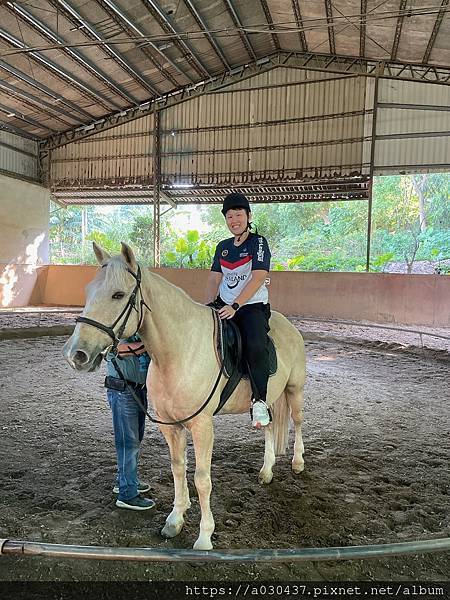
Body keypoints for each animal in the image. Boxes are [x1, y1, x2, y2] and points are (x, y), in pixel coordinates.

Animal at [63, 243, 306, 548]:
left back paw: (298, 463)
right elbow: (178, 468)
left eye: (118, 294)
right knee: (270, 427)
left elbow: (202, 479)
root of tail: (288, 325)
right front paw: (175, 520)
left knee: (298, 421)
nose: (76, 354)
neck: (179, 350)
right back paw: (266, 471)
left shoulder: (202, 426)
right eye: (88, 291)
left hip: (294, 389)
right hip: (269, 397)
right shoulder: (171, 426)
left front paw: (204, 537)